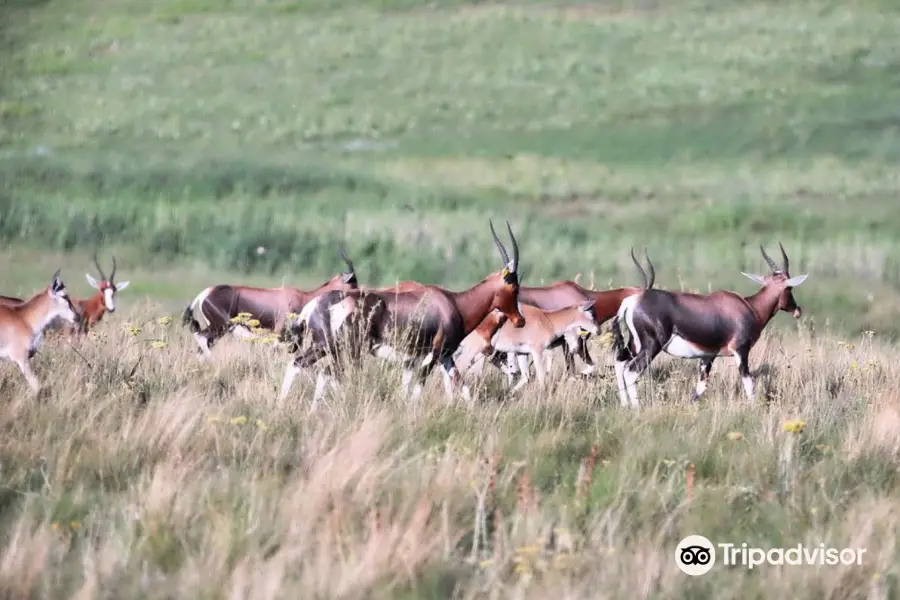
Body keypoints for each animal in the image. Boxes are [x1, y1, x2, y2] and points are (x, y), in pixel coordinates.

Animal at [183, 247, 358, 356]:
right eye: (353, 283)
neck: (302, 296)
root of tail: (204, 294)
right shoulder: (278, 333)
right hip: (221, 327)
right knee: (201, 339)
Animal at [282, 220, 528, 404]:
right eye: (514, 287)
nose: (520, 320)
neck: (453, 302)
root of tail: (317, 304)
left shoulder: (440, 357)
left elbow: (459, 386)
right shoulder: (433, 355)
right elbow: (418, 390)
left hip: (322, 347)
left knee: (299, 364)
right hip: (347, 350)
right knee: (328, 374)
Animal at [612, 243, 808, 408]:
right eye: (789, 288)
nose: (797, 310)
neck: (749, 306)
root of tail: (632, 302)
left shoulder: (708, 356)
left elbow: (700, 387)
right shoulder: (741, 351)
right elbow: (748, 382)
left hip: (634, 345)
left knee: (620, 363)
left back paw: (625, 404)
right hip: (651, 347)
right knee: (631, 371)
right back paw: (636, 408)